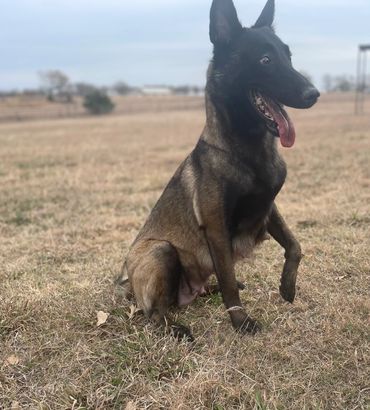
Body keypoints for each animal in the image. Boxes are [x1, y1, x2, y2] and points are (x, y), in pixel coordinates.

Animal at [117, 0, 320, 340]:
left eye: (288, 56)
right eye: (265, 60)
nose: (314, 94)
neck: (249, 151)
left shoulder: (269, 207)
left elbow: (295, 245)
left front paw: (287, 287)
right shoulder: (216, 228)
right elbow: (227, 276)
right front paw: (240, 320)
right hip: (160, 251)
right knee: (154, 313)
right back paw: (175, 328)